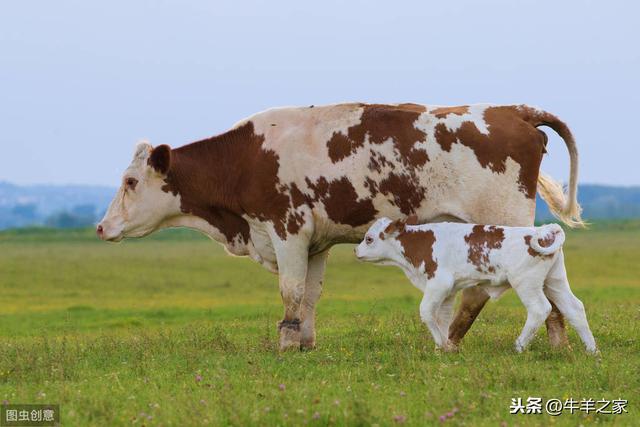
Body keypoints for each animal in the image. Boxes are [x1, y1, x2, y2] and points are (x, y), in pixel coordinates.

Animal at [356, 217, 596, 354]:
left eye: (369, 239)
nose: (356, 250)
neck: (421, 242)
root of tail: (542, 231)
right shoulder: (448, 290)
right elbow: (443, 317)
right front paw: (444, 347)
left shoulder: (438, 283)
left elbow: (426, 312)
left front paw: (442, 344)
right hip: (555, 281)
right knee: (574, 308)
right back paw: (592, 351)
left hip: (526, 283)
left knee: (540, 309)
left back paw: (518, 347)